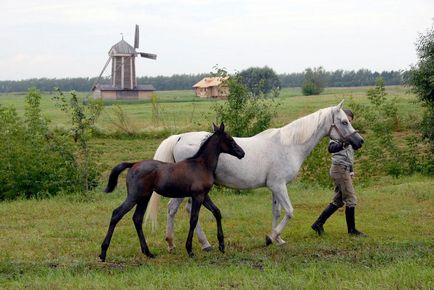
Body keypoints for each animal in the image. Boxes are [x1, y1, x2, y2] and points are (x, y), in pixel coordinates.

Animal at [99, 122, 246, 260]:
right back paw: (103, 252)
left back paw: (148, 252)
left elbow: (217, 212)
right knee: (117, 214)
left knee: (137, 218)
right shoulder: (198, 196)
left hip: (144, 197)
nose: (242, 153)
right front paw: (190, 250)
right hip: (134, 196)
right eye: (230, 139)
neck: (202, 164)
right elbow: (193, 219)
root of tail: (133, 164)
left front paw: (221, 245)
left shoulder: (204, 196)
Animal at [145, 101, 362, 250]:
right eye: (344, 122)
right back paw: (200, 244)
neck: (288, 145)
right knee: (183, 210)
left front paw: (278, 239)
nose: (359, 141)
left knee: (177, 210)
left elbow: (277, 212)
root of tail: (179, 137)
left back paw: (176, 243)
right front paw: (270, 237)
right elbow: (289, 211)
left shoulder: (276, 187)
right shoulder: (279, 186)